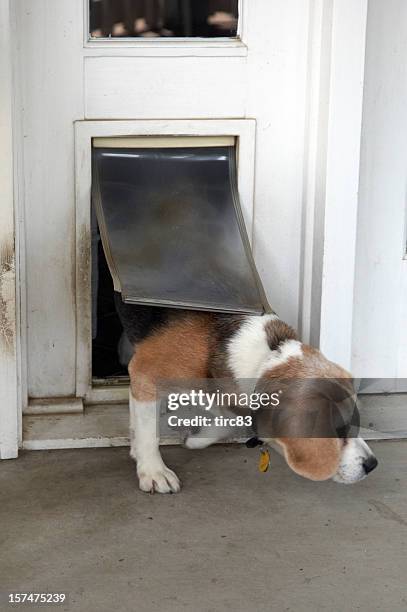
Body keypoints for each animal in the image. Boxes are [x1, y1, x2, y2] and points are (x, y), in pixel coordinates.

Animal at [115, 298, 380, 494]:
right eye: (337, 429)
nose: (372, 465)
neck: (265, 356)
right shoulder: (144, 372)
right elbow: (149, 432)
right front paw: (153, 470)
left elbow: (228, 419)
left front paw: (195, 439)